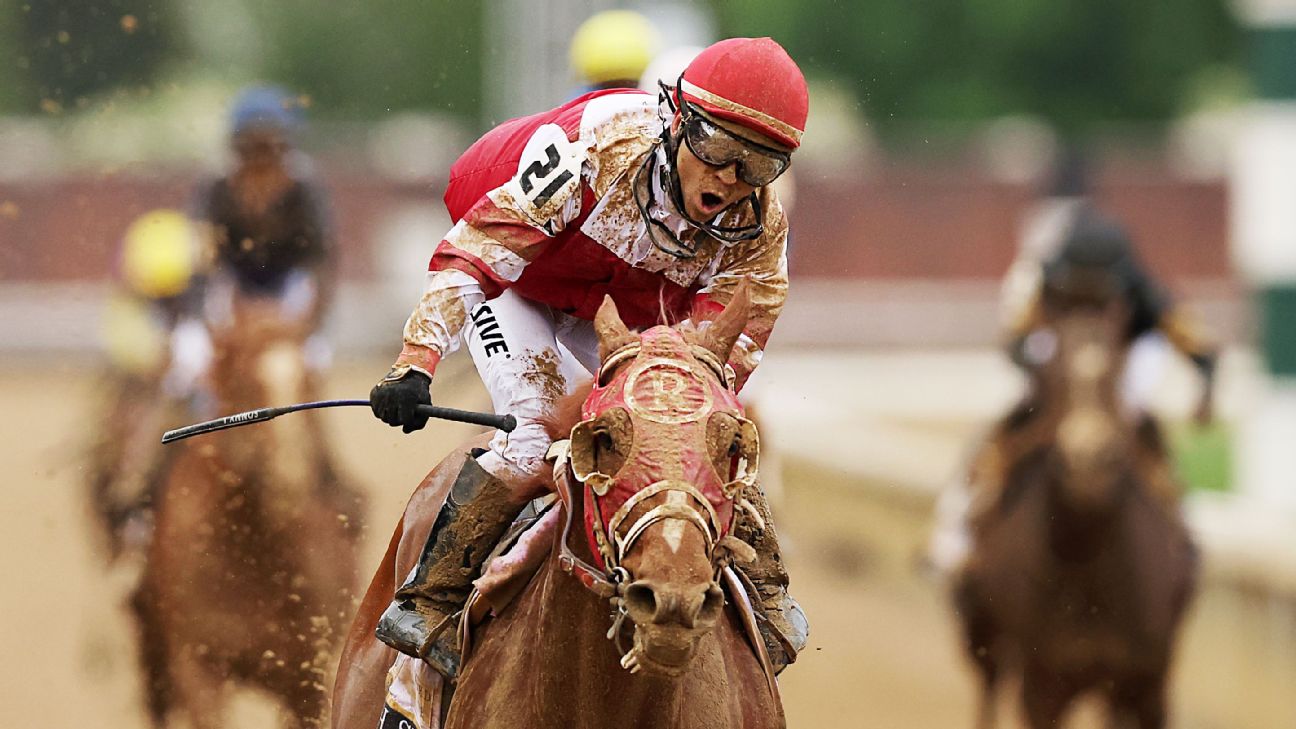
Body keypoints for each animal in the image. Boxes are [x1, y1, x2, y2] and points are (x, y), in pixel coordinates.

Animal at [948, 278, 1197, 726]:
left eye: (1118, 368)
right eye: (1052, 371)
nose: (1089, 457)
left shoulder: (1144, 678)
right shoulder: (1044, 680)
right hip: (982, 637)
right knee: (987, 690)